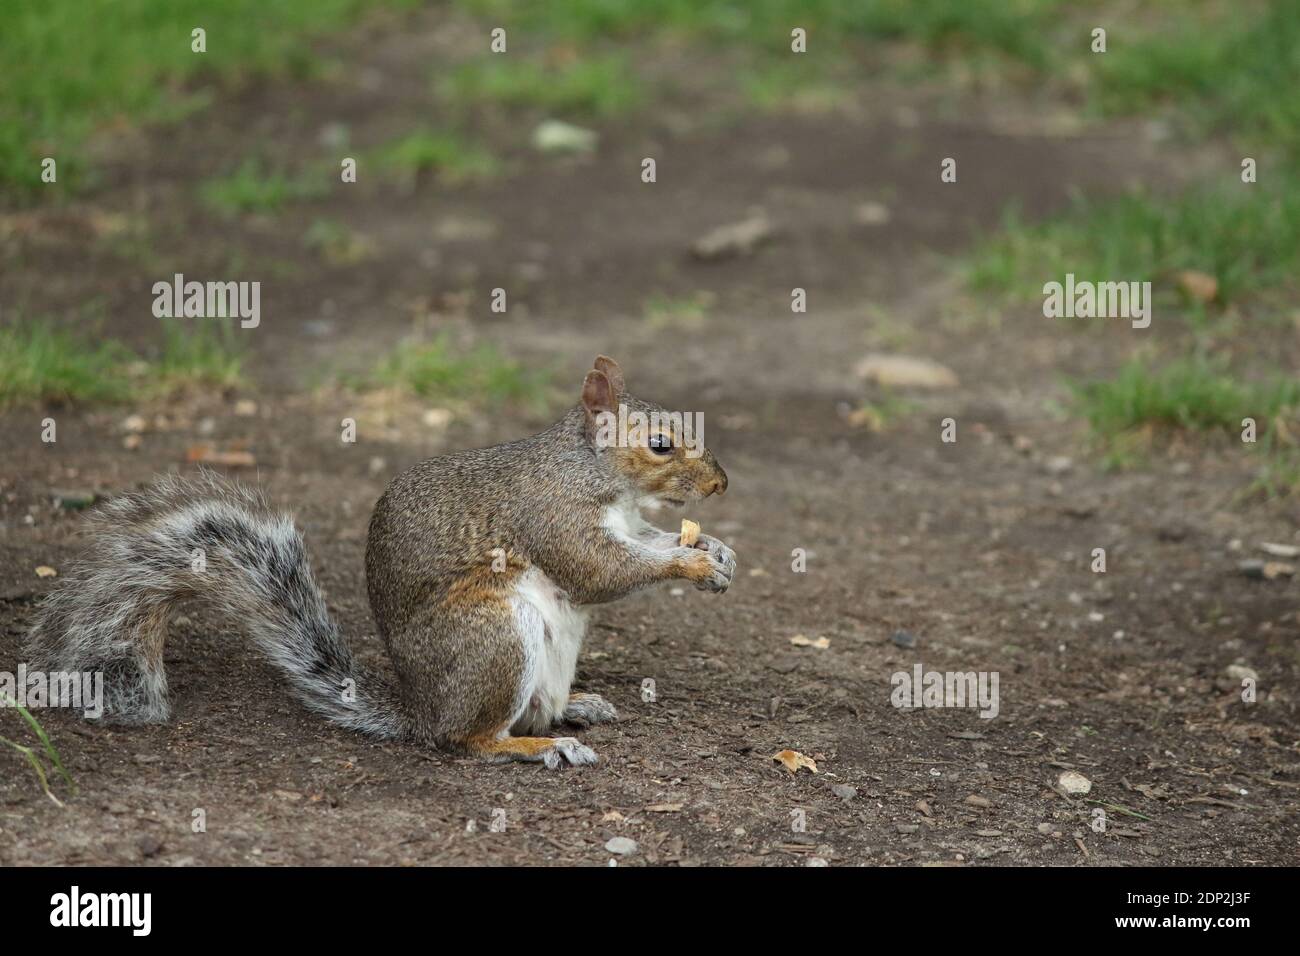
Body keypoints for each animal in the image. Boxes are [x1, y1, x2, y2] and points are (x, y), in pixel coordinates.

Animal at [30, 358, 738, 770]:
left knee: (528, 709)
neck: (594, 476)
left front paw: (713, 551)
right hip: (493, 638)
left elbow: (645, 544)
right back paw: (544, 745)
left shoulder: (628, 523)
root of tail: (420, 711)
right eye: (660, 444)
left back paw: (580, 706)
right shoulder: (552, 516)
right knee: (469, 740)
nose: (720, 484)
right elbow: (598, 572)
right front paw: (693, 567)